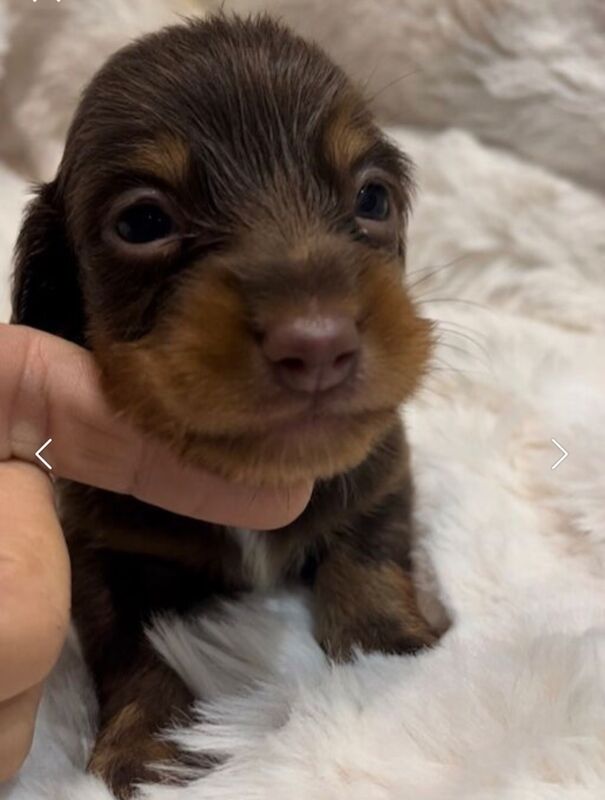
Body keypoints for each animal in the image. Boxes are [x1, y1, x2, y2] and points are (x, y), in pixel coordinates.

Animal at [9, 14, 434, 800]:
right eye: (143, 221)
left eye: (372, 199)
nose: (319, 344)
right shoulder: (101, 546)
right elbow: (136, 648)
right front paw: (150, 747)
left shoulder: (381, 471)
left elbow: (370, 555)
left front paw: (391, 654)